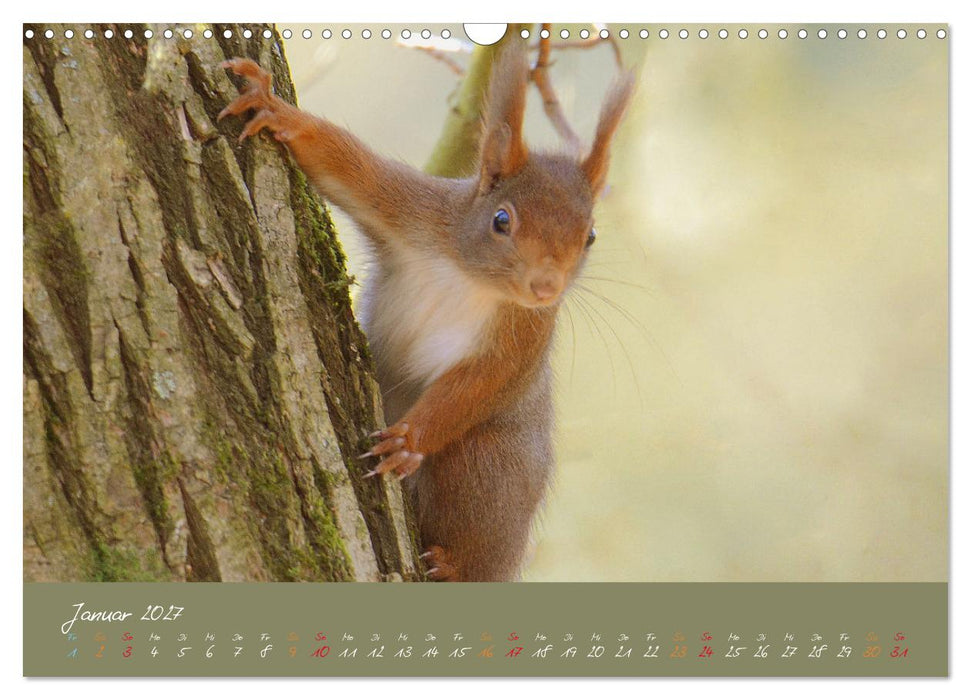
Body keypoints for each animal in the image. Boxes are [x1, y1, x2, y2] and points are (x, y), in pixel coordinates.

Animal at [219, 39, 633, 581]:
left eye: (590, 236)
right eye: (502, 220)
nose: (546, 286)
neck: (470, 277)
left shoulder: (526, 334)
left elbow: (481, 383)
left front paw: (408, 440)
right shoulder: (416, 211)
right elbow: (349, 170)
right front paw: (275, 109)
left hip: (488, 466)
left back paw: (453, 565)